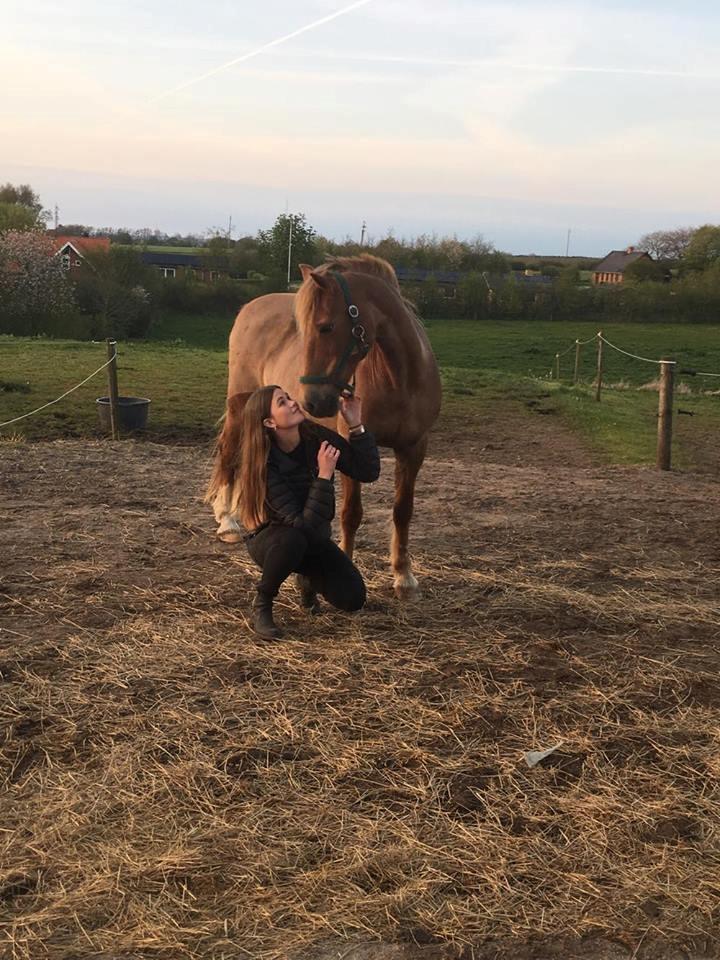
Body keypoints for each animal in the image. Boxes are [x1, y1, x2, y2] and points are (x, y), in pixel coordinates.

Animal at [205, 258, 442, 596]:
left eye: (326, 326)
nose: (312, 401)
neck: (399, 380)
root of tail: (250, 307)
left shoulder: (414, 448)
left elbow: (403, 511)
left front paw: (404, 577)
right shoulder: (350, 447)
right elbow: (351, 514)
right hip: (240, 403)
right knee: (228, 452)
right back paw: (227, 520)